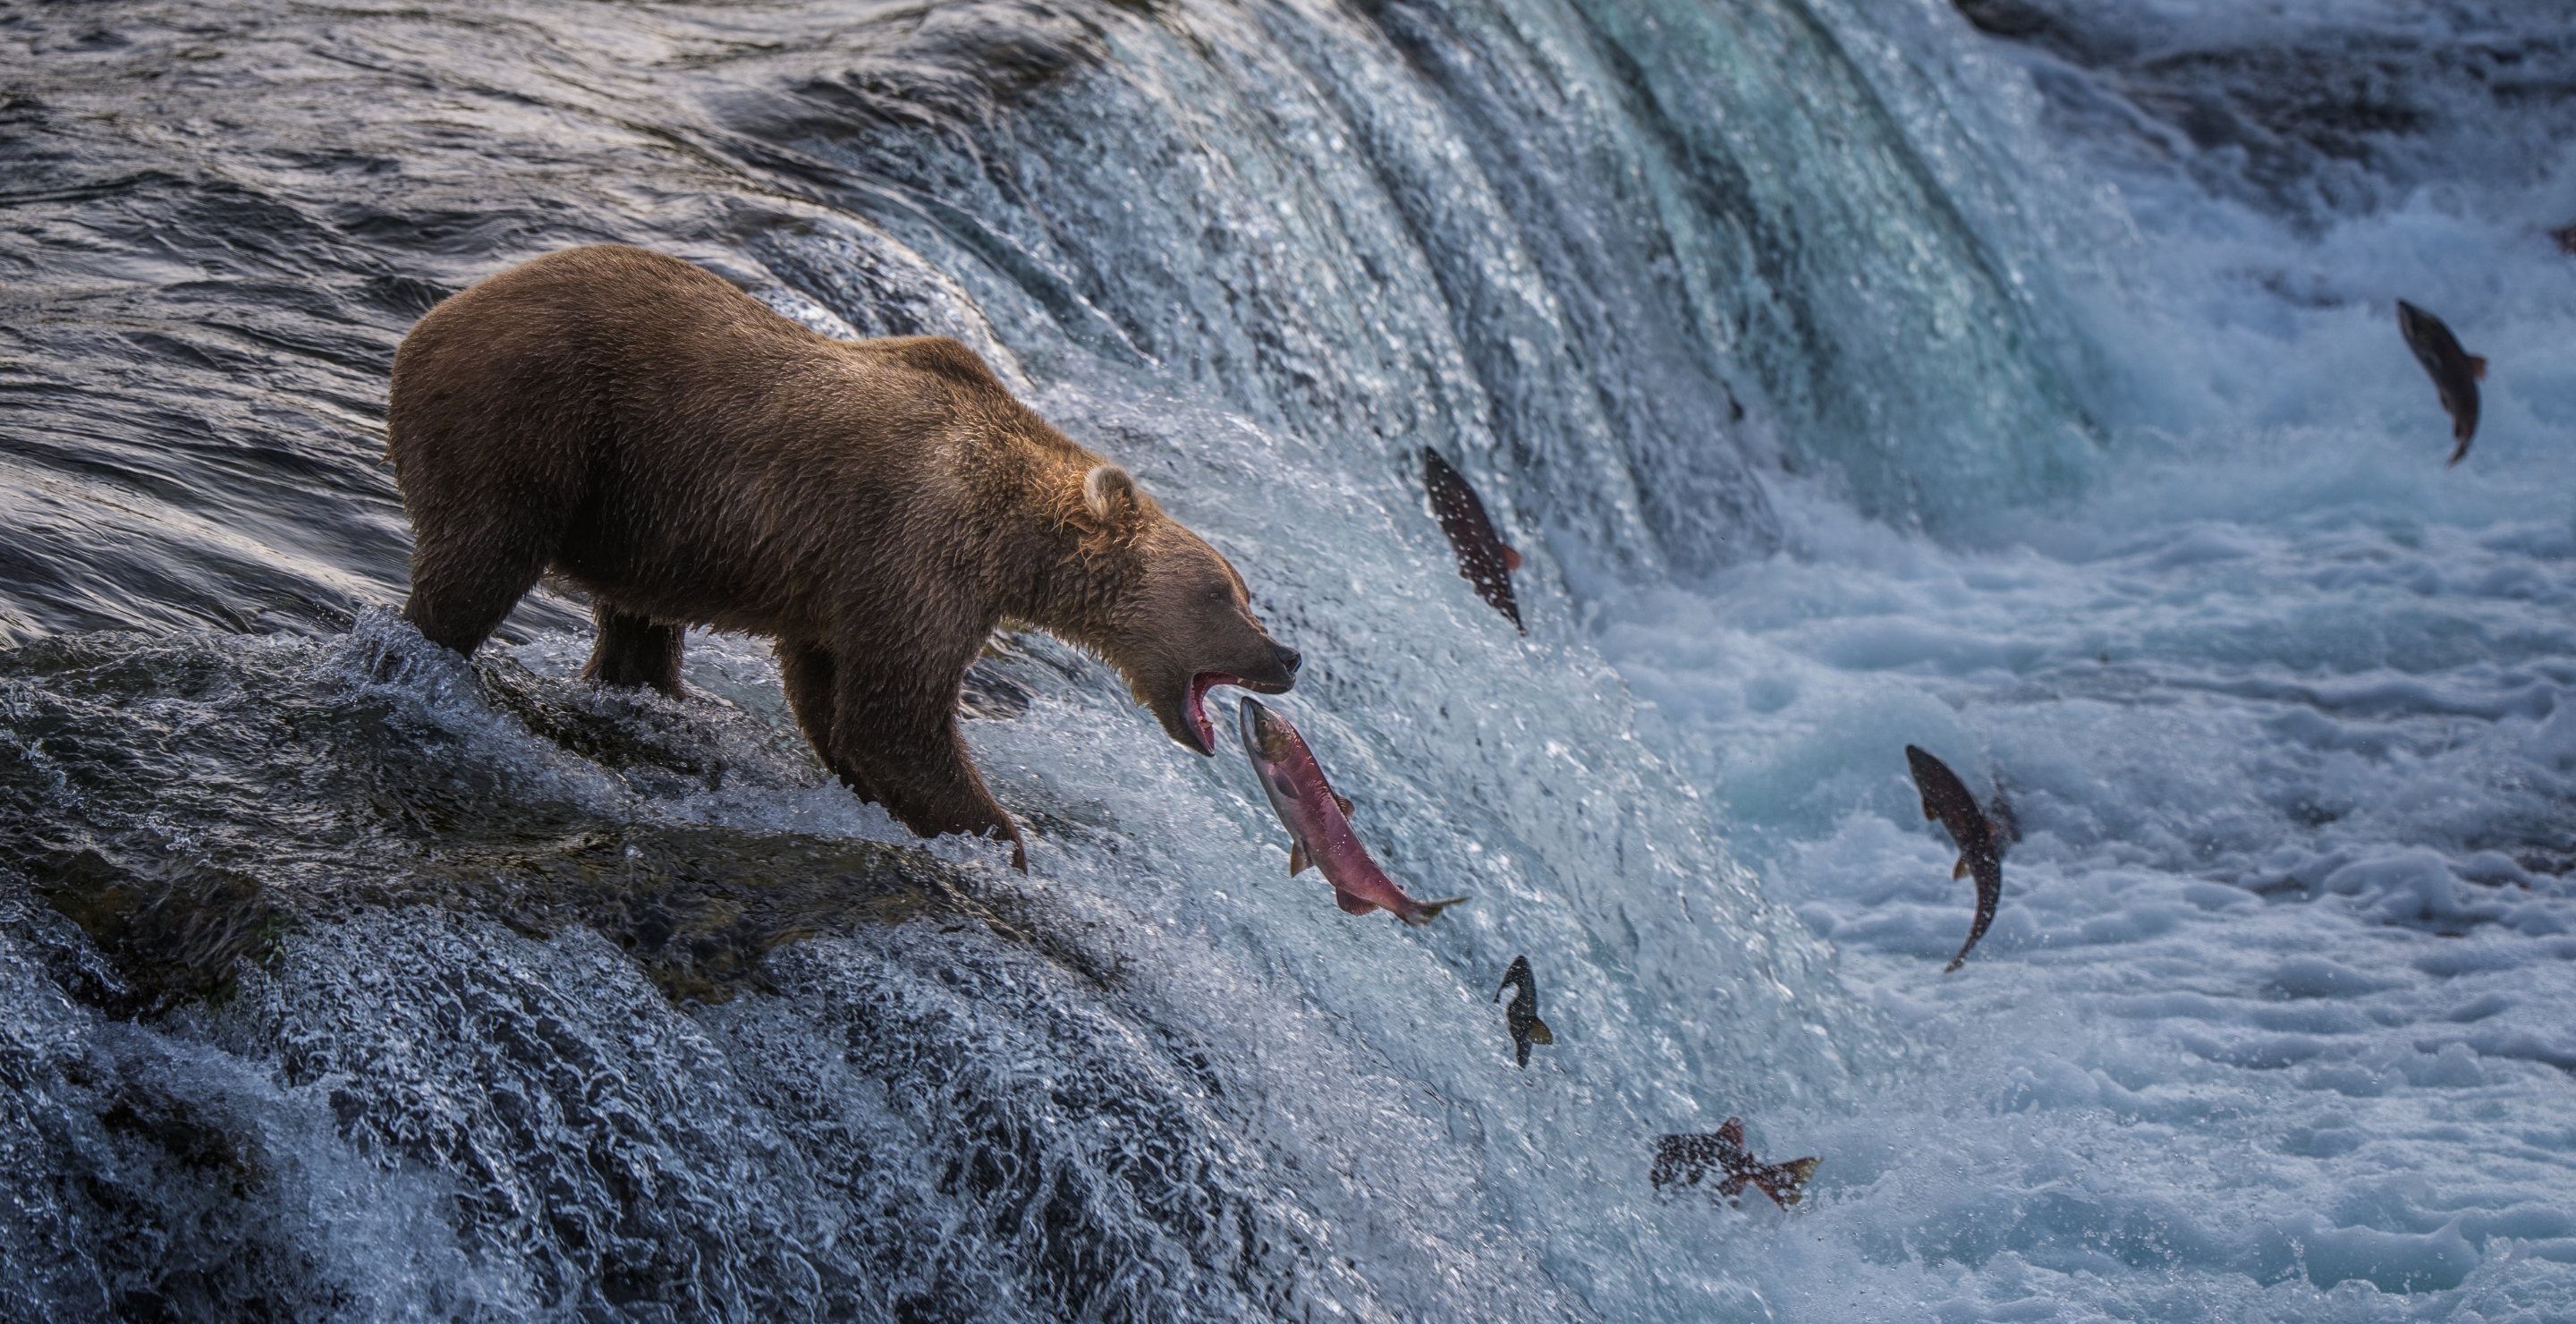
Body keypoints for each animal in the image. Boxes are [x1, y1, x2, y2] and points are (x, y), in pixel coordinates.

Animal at [384, 244, 1301, 869]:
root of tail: (429, 321)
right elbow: (895, 718)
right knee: (480, 562)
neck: (1015, 543)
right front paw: (1003, 843)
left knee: (635, 623)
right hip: (535, 419)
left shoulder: (852, 584)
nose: (1288, 654)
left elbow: (834, 700)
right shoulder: (919, 549)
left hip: (633, 511)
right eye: (1226, 593)